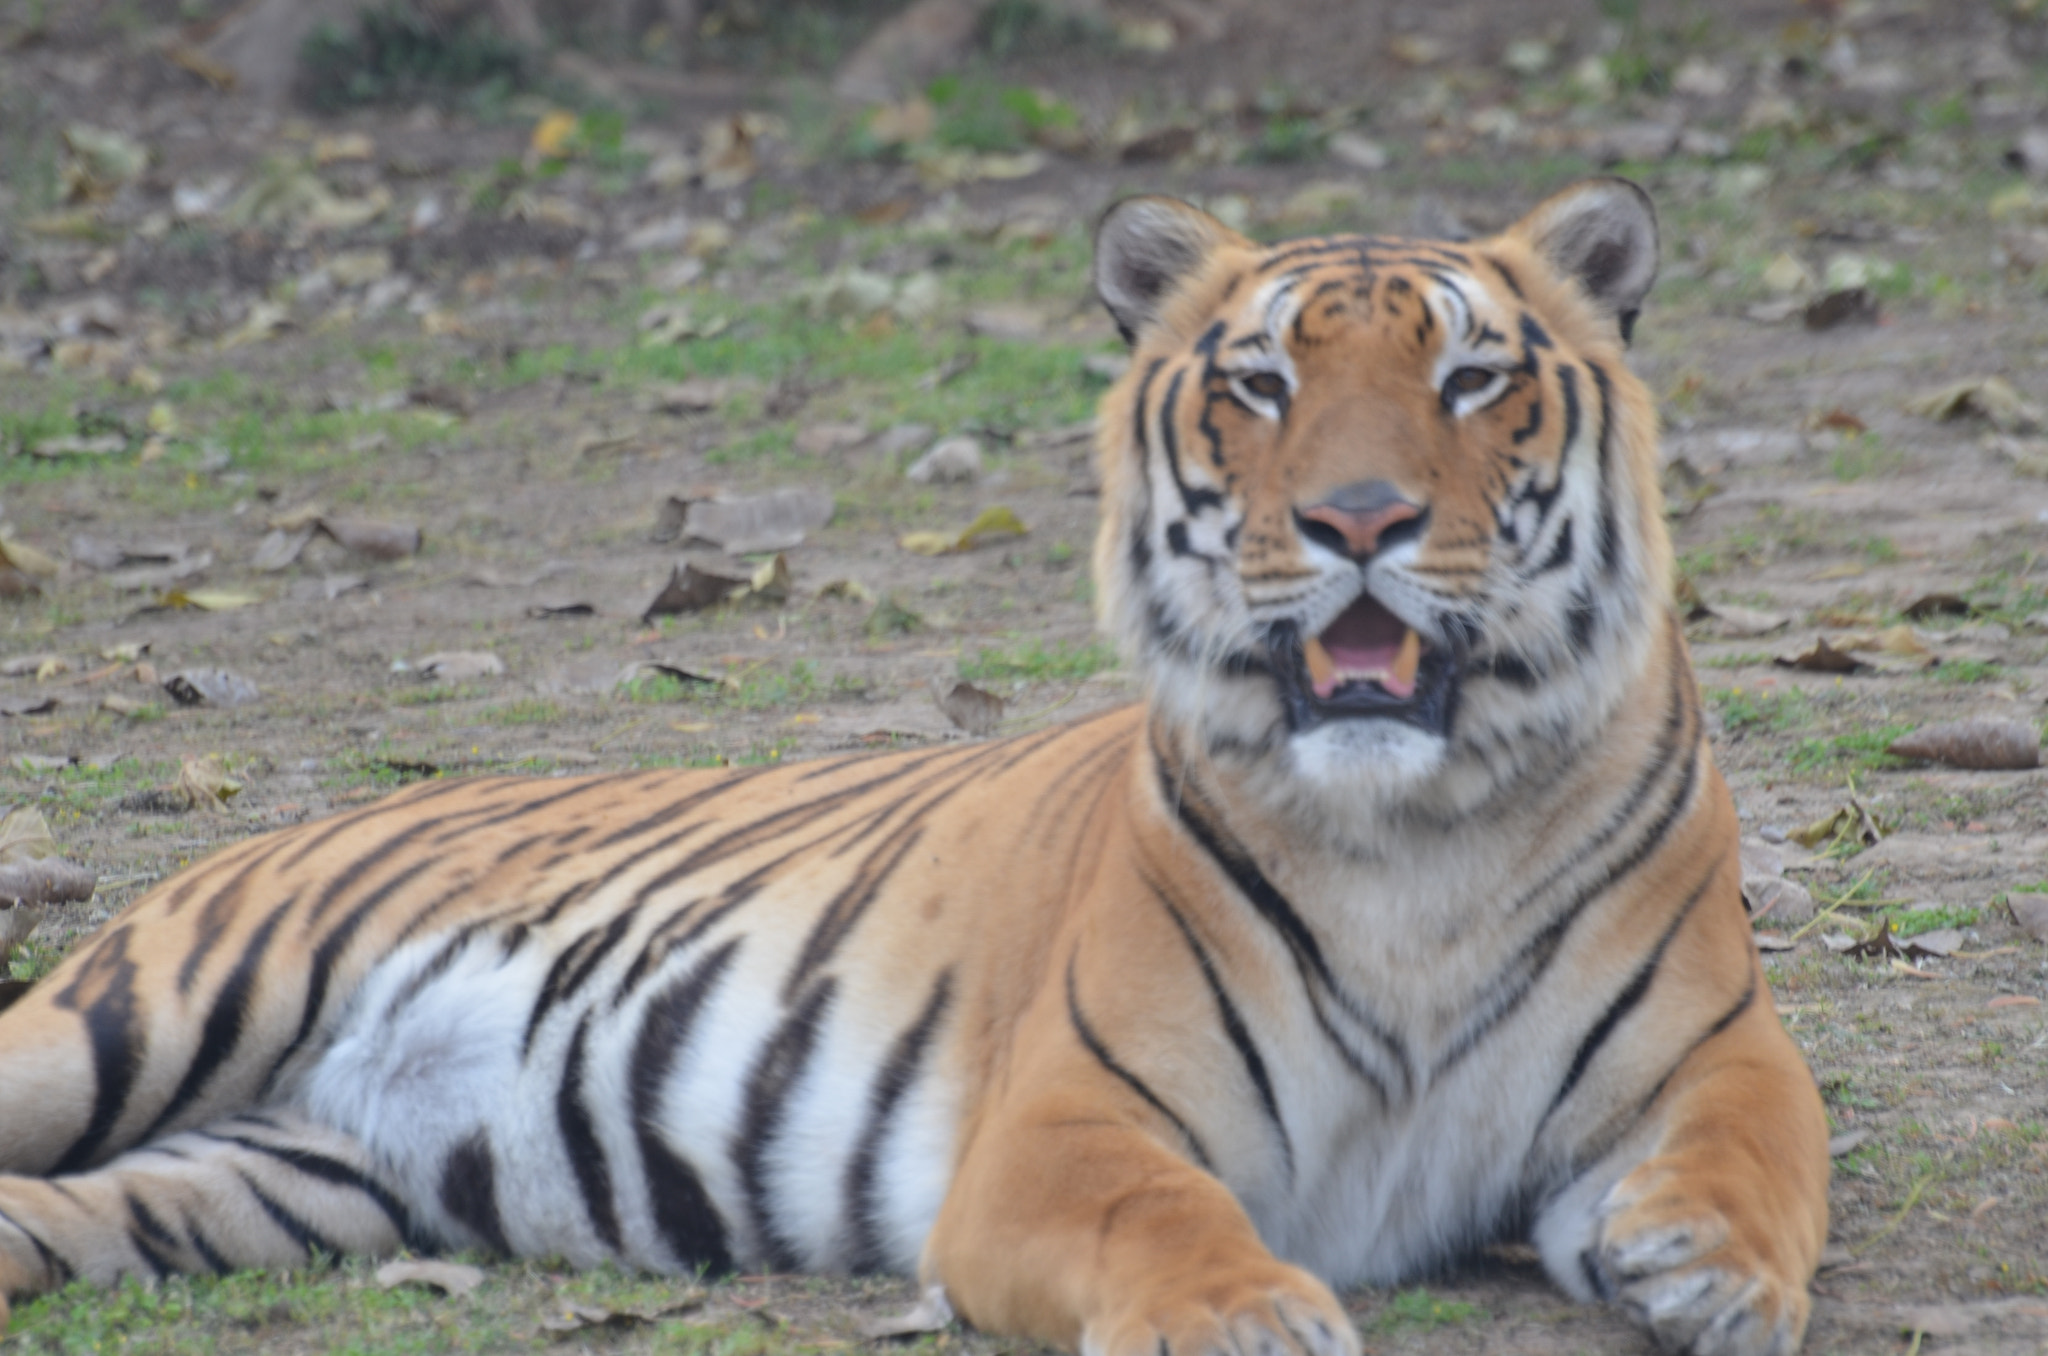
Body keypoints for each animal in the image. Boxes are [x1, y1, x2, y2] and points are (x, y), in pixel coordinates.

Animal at [0, 180, 1835, 1356]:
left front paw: (1707, 1268)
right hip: (132, 1023)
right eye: (1260, 383)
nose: (1360, 520)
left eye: (1470, 378)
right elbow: (1160, 1222)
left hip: (273, 1186)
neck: (1412, 837)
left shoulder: (1713, 1047)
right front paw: (1241, 1313)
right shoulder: (1067, 1118)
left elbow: (1760, 1150)